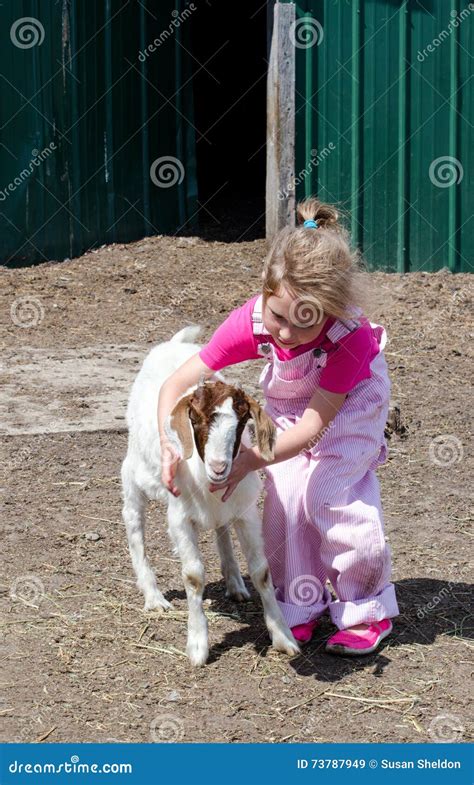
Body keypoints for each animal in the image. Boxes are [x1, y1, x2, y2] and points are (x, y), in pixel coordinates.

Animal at [122, 324, 300, 660]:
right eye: (196, 419)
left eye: (242, 423)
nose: (219, 466)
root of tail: (172, 345)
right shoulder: (179, 518)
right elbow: (193, 576)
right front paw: (197, 646)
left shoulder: (246, 511)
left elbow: (262, 571)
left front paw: (283, 637)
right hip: (133, 473)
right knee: (133, 522)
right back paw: (153, 596)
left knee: (221, 529)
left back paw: (234, 582)